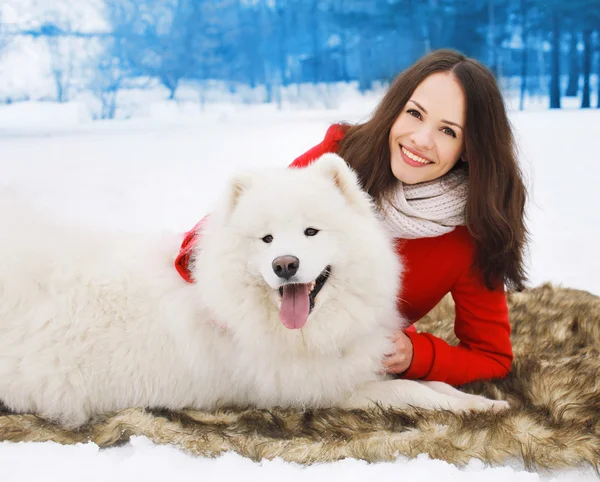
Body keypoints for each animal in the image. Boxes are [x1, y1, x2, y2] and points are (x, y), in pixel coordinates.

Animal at [0, 155, 506, 430]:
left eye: (310, 231)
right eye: (266, 239)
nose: (285, 265)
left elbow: (433, 383)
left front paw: (484, 401)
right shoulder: (319, 390)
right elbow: (412, 392)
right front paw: (476, 406)